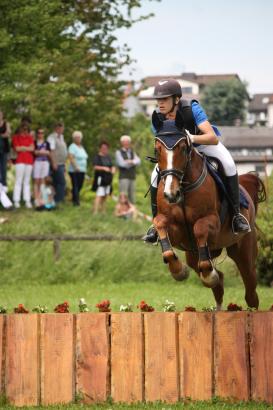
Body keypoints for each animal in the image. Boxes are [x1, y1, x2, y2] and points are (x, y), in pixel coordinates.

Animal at [153, 113, 266, 310]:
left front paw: (205, 274)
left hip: (243, 251)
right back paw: (213, 283)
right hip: (193, 253)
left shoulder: (212, 222)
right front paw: (179, 271)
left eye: (183, 148)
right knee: (216, 280)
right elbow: (160, 224)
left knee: (250, 289)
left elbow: (200, 228)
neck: (183, 189)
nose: (171, 194)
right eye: (157, 150)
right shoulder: (177, 231)